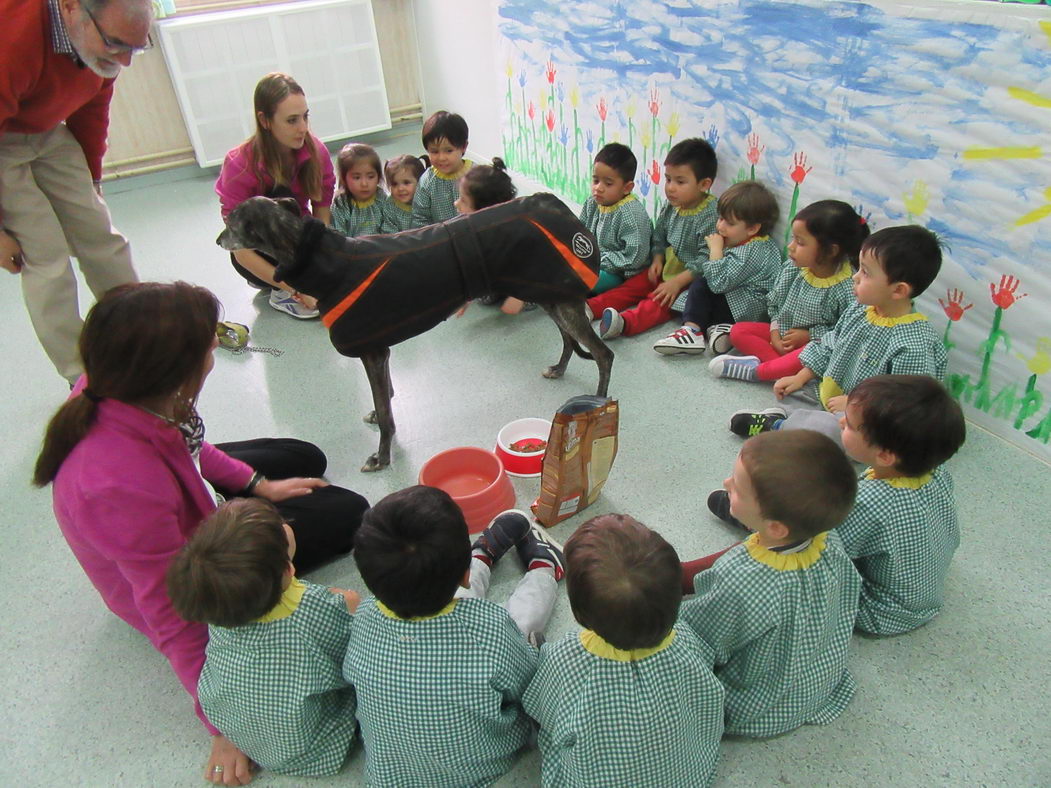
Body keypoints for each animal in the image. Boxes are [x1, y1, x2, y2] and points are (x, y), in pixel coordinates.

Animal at [219, 193, 613, 472]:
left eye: (231, 222)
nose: (219, 238)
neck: (327, 264)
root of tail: (563, 210)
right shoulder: (380, 351)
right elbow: (386, 398)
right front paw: (380, 421)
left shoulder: (372, 352)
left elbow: (386, 414)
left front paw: (381, 457)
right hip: (549, 295)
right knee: (568, 339)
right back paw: (559, 369)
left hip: (559, 298)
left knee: (603, 353)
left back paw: (597, 401)